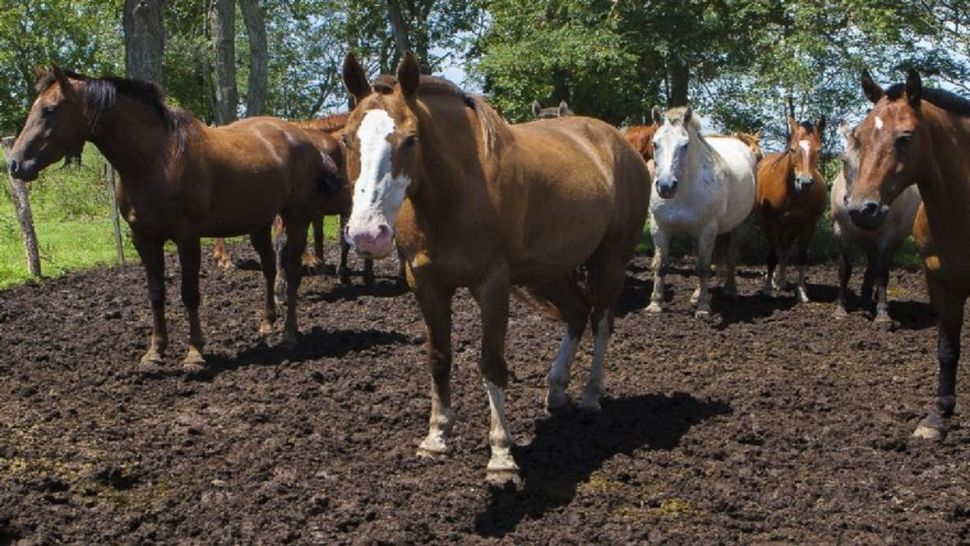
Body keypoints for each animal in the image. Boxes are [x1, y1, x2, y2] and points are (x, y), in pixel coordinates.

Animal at [6, 65, 336, 370]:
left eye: (49, 110)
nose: (15, 164)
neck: (156, 160)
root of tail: (303, 137)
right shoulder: (144, 239)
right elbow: (156, 293)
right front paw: (154, 352)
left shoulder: (187, 237)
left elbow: (189, 293)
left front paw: (195, 353)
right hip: (259, 221)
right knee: (268, 267)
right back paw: (267, 324)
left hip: (296, 218)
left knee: (291, 272)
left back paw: (289, 334)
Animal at [340, 53, 652, 482]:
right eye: (345, 139)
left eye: (410, 139)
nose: (368, 233)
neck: (457, 193)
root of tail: (620, 144)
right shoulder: (426, 285)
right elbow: (439, 357)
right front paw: (436, 436)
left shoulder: (492, 285)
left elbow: (491, 363)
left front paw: (502, 456)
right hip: (547, 272)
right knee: (577, 312)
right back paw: (557, 392)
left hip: (610, 260)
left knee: (601, 320)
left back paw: (590, 397)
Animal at [756, 116, 824, 302]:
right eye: (793, 149)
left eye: (818, 150)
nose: (805, 182)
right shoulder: (771, 223)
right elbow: (772, 255)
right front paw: (767, 288)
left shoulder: (808, 226)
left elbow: (800, 257)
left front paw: (801, 292)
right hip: (769, 226)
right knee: (776, 249)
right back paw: (773, 282)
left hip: (790, 228)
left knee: (784, 249)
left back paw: (781, 281)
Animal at [828, 121, 920, 320]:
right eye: (844, 160)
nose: (855, 207)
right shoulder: (841, 231)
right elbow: (844, 269)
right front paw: (840, 309)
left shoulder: (888, 236)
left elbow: (882, 272)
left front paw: (883, 313)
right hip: (865, 239)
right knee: (871, 263)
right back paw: (865, 297)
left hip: (893, 240)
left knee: (879, 265)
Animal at [844, 70, 968, 440]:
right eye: (860, 136)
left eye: (906, 137)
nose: (862, 209)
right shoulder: (941, 282)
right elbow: (947, 349)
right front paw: (938, 416)